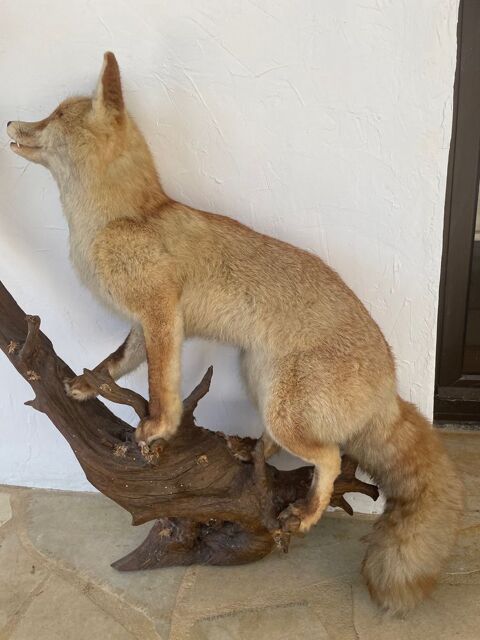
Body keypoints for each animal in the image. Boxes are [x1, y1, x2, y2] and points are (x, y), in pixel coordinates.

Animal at [7, 52, 463, 613]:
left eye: (53, 116)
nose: (10, 122)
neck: (120, 219)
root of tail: (390, 384)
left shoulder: (162, 315)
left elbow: (161, 385)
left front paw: (156, 428)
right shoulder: (141, 322)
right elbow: (118, 361)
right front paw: (88, 384)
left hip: (287, 408)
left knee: (330, 456)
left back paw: (306, 513)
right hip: (258, 380)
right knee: (278, 445)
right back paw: (252, 451)